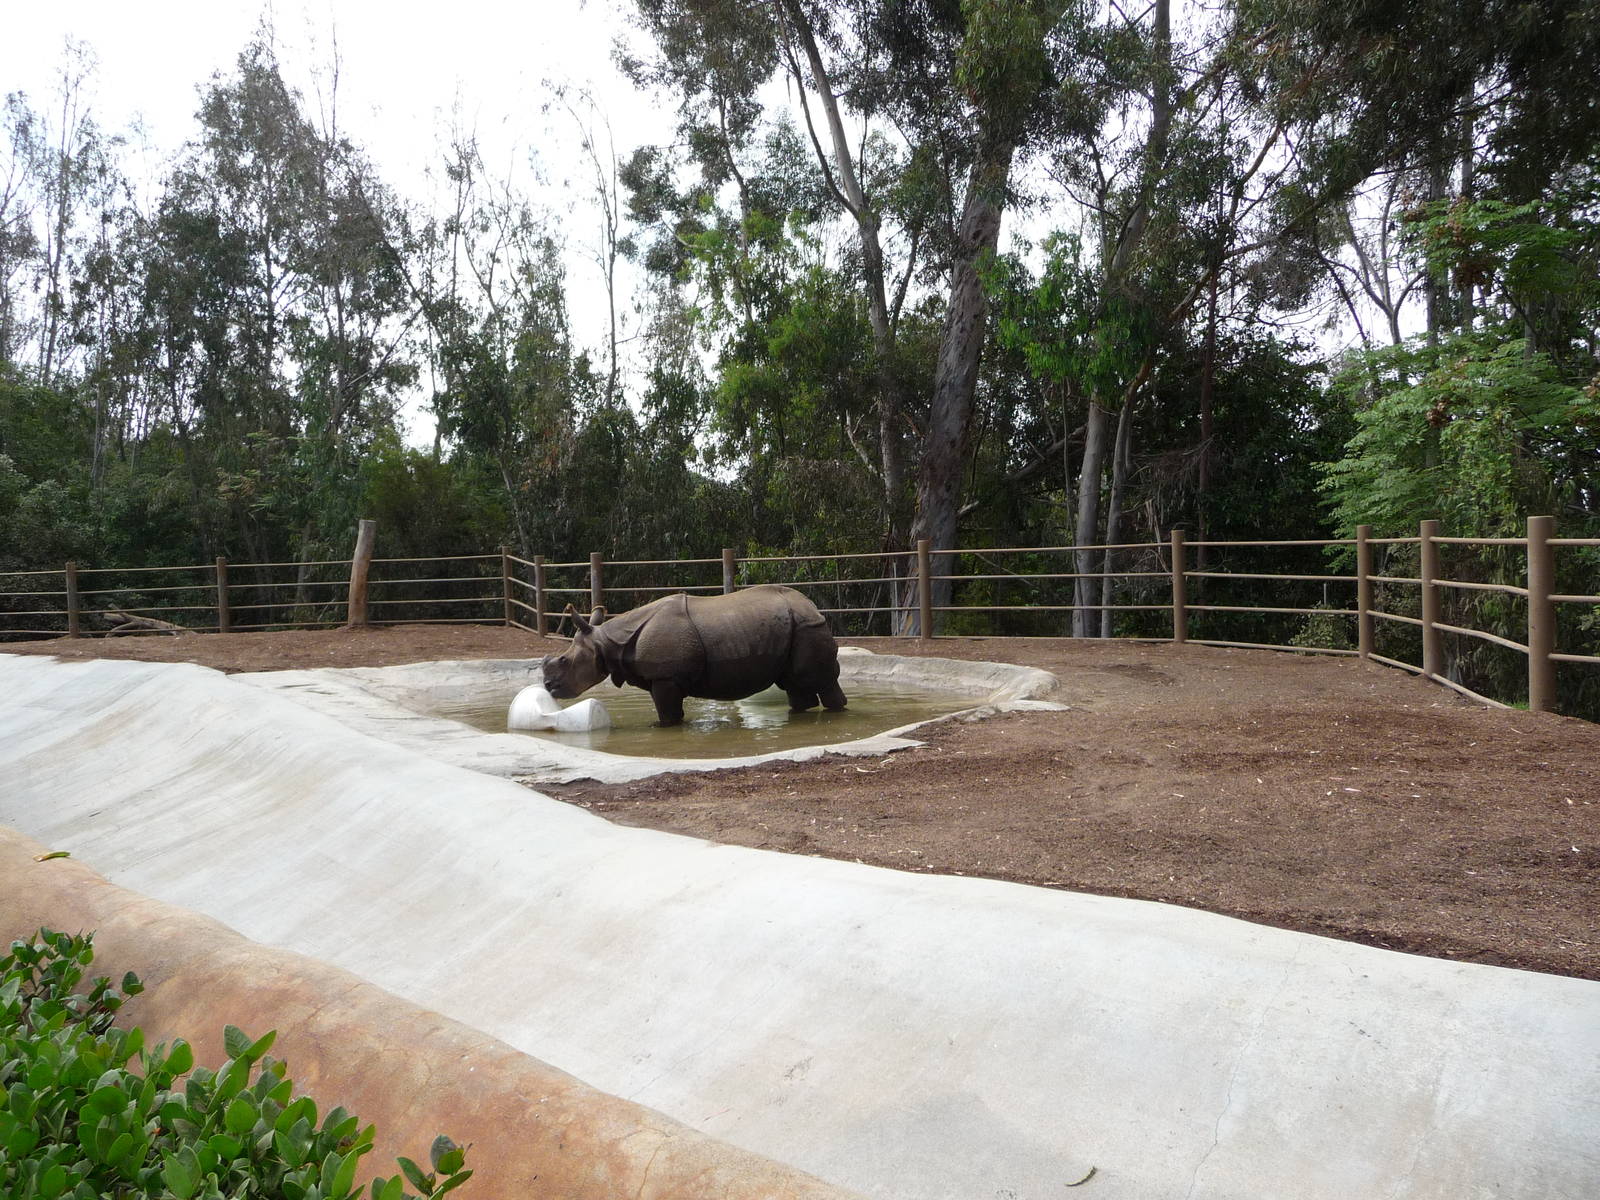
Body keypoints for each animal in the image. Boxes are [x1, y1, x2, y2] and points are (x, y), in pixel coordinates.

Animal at [542, 584, 848, 726]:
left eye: (564, 661)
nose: (548, 686)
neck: (606, 642)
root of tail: (812, 607)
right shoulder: (663, 678)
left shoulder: (666, 678)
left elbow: (669, 714)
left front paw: (659, 727)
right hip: (793, 627)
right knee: (793, 683)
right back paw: (798, 714)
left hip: (808, 628)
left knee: (819, 680)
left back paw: (835, 712)